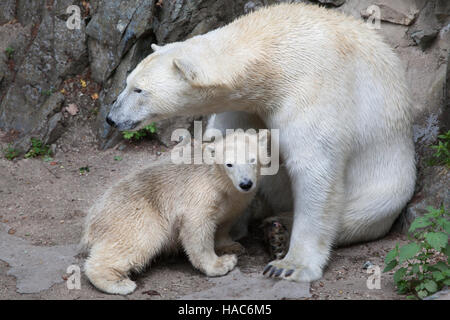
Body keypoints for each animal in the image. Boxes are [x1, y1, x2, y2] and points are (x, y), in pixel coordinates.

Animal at [81, 132, 268, 296]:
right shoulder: (200, 194)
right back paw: (118, 283)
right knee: (138, 241)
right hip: (135, 215)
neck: (221, 182)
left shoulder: (233, 201)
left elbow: (225, 221)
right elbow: (197, 228)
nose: (245, 183)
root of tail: (91, 221)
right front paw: (221, 264)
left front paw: (231, 245)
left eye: (252, 159)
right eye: (229, 164)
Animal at [104, 3, 414, 282]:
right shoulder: (245, 104)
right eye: (128, 82)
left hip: (387, 185)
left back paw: (279, 231)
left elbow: (315, 170)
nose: (111, 118)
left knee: (361, 212)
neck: (273, 55)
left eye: (139, 90)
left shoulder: (313, 87)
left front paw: (290, 266)